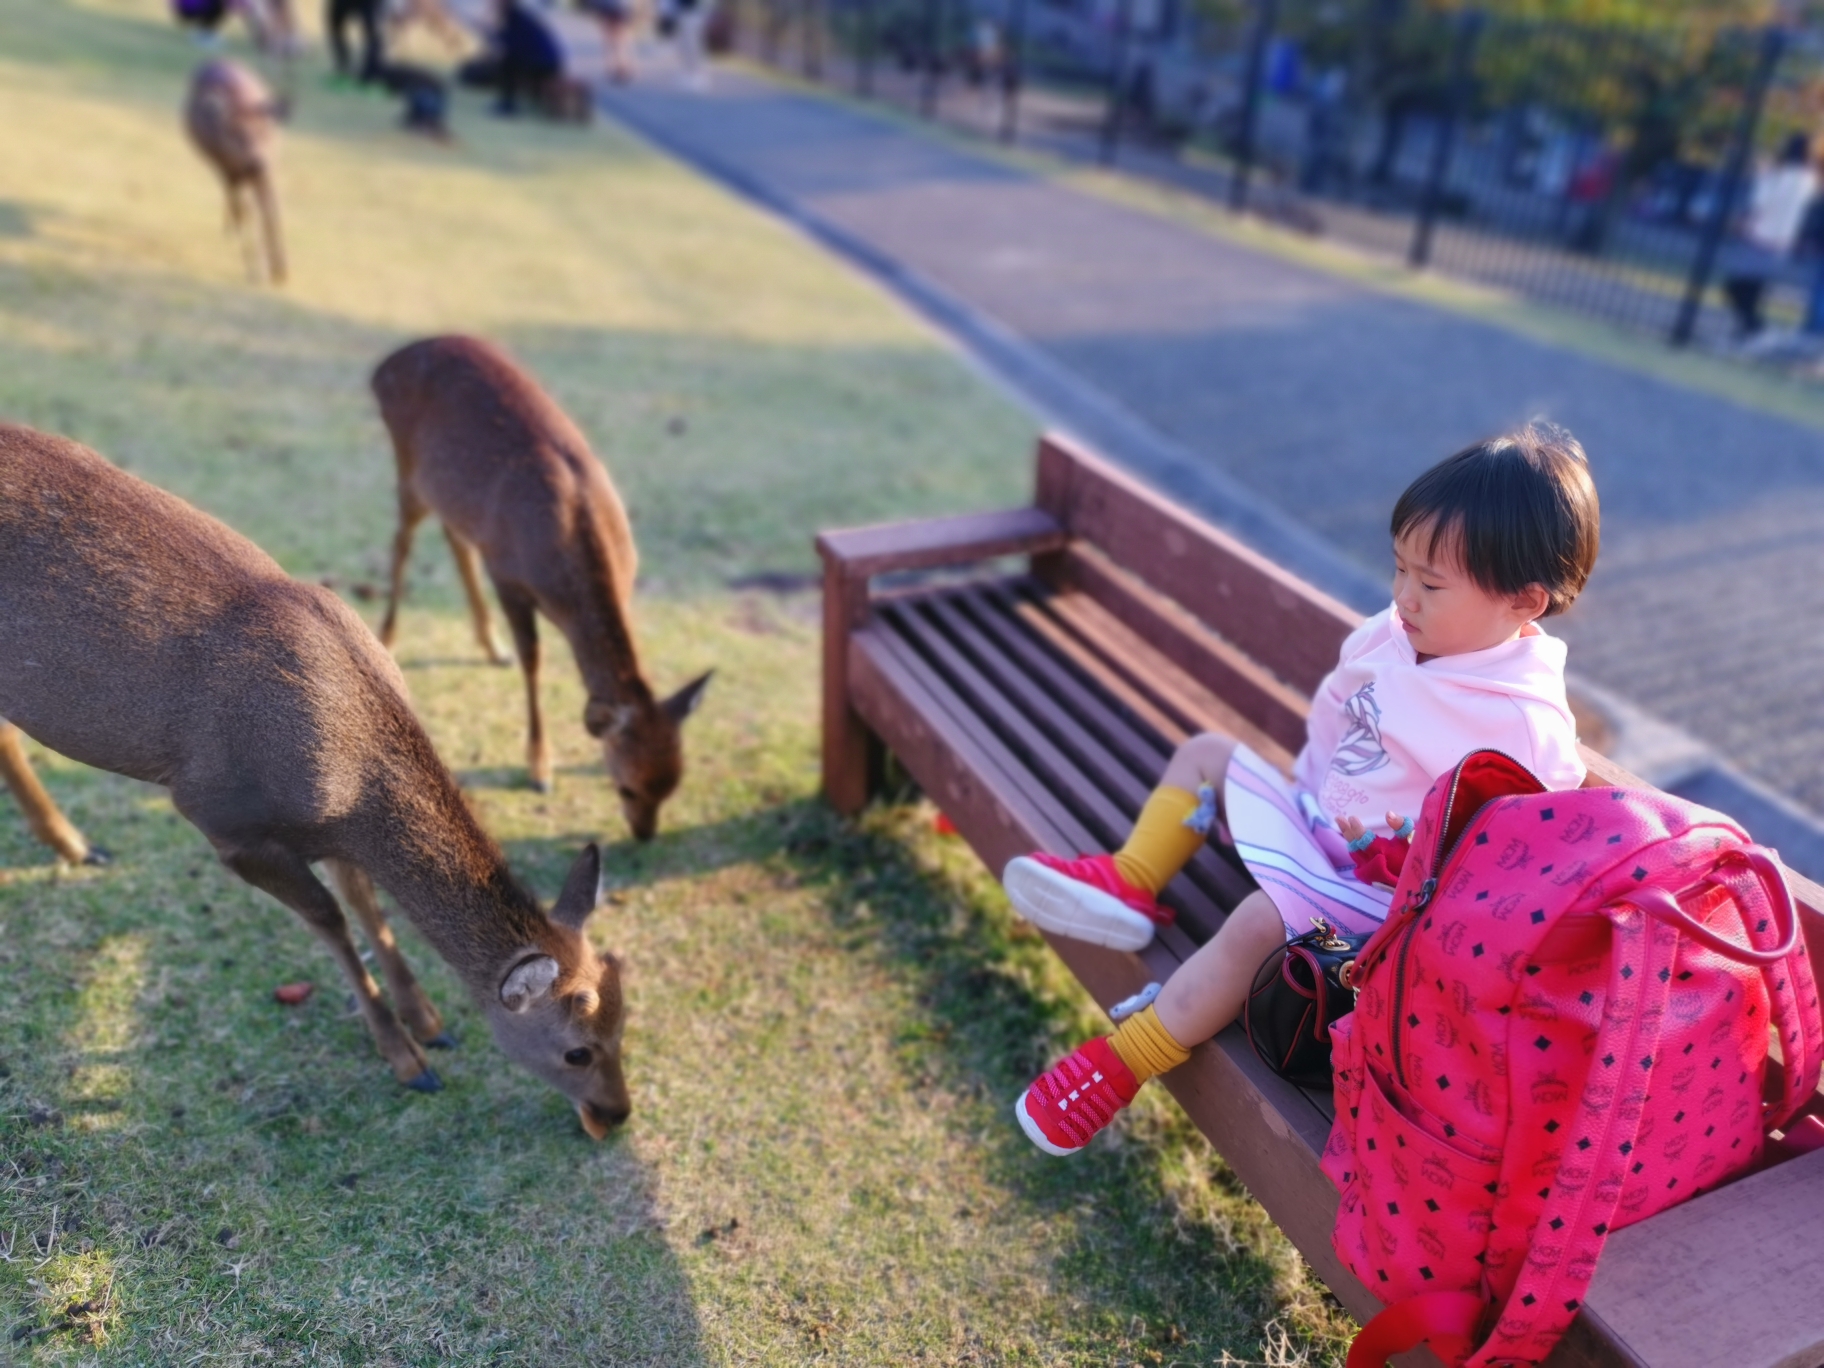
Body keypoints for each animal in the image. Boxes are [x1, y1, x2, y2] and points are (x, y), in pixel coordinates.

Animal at [186, 60, 288, 288]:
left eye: (265, 132)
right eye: (237, 135)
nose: (256, 163)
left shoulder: (268, 171)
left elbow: (272, 214)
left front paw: (281, 270)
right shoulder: (232, 170)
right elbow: (246, 213)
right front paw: (259, 270)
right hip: (221, 168)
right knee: (236, 203)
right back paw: (230, 231)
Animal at [370, 337, 711, 842]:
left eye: (673, 783)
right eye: (627, 787)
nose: (644, 835)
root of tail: (385, 364)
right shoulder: (508, 574)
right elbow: (533, 659)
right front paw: (539, 769)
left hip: (448, 493)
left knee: (454, 539)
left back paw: (492, 648)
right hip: (407, 466)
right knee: (401, 542)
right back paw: (388, 638)